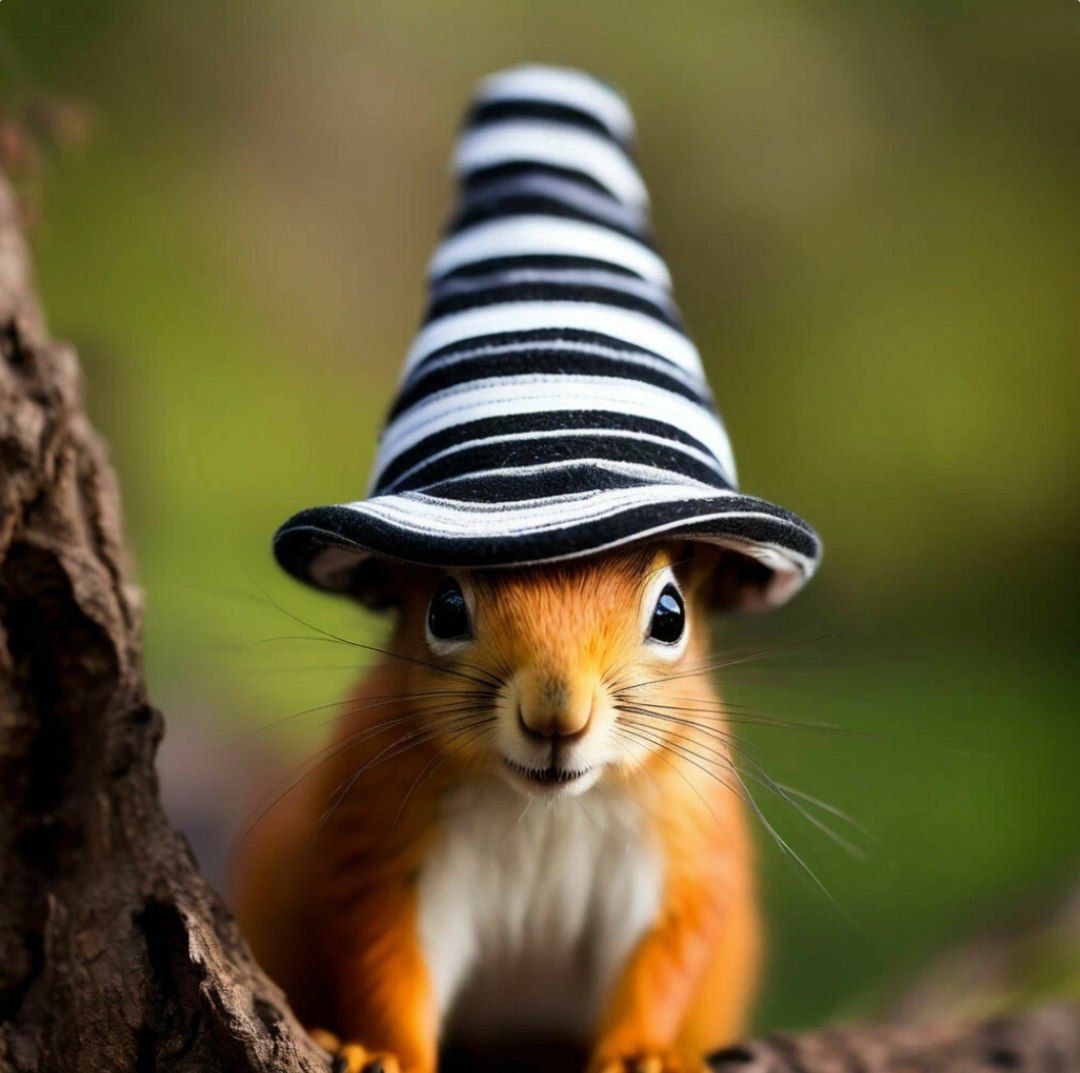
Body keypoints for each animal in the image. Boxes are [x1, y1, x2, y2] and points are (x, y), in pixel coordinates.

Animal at [231, 544, 760, 1070]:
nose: (555, 717)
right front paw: (387, 1053)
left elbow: (662, 957)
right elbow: (388, 956)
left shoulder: (684, 836)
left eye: (671, 616)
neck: (546, 807)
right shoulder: (383, 828)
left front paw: (641, 1054)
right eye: (445, 609)